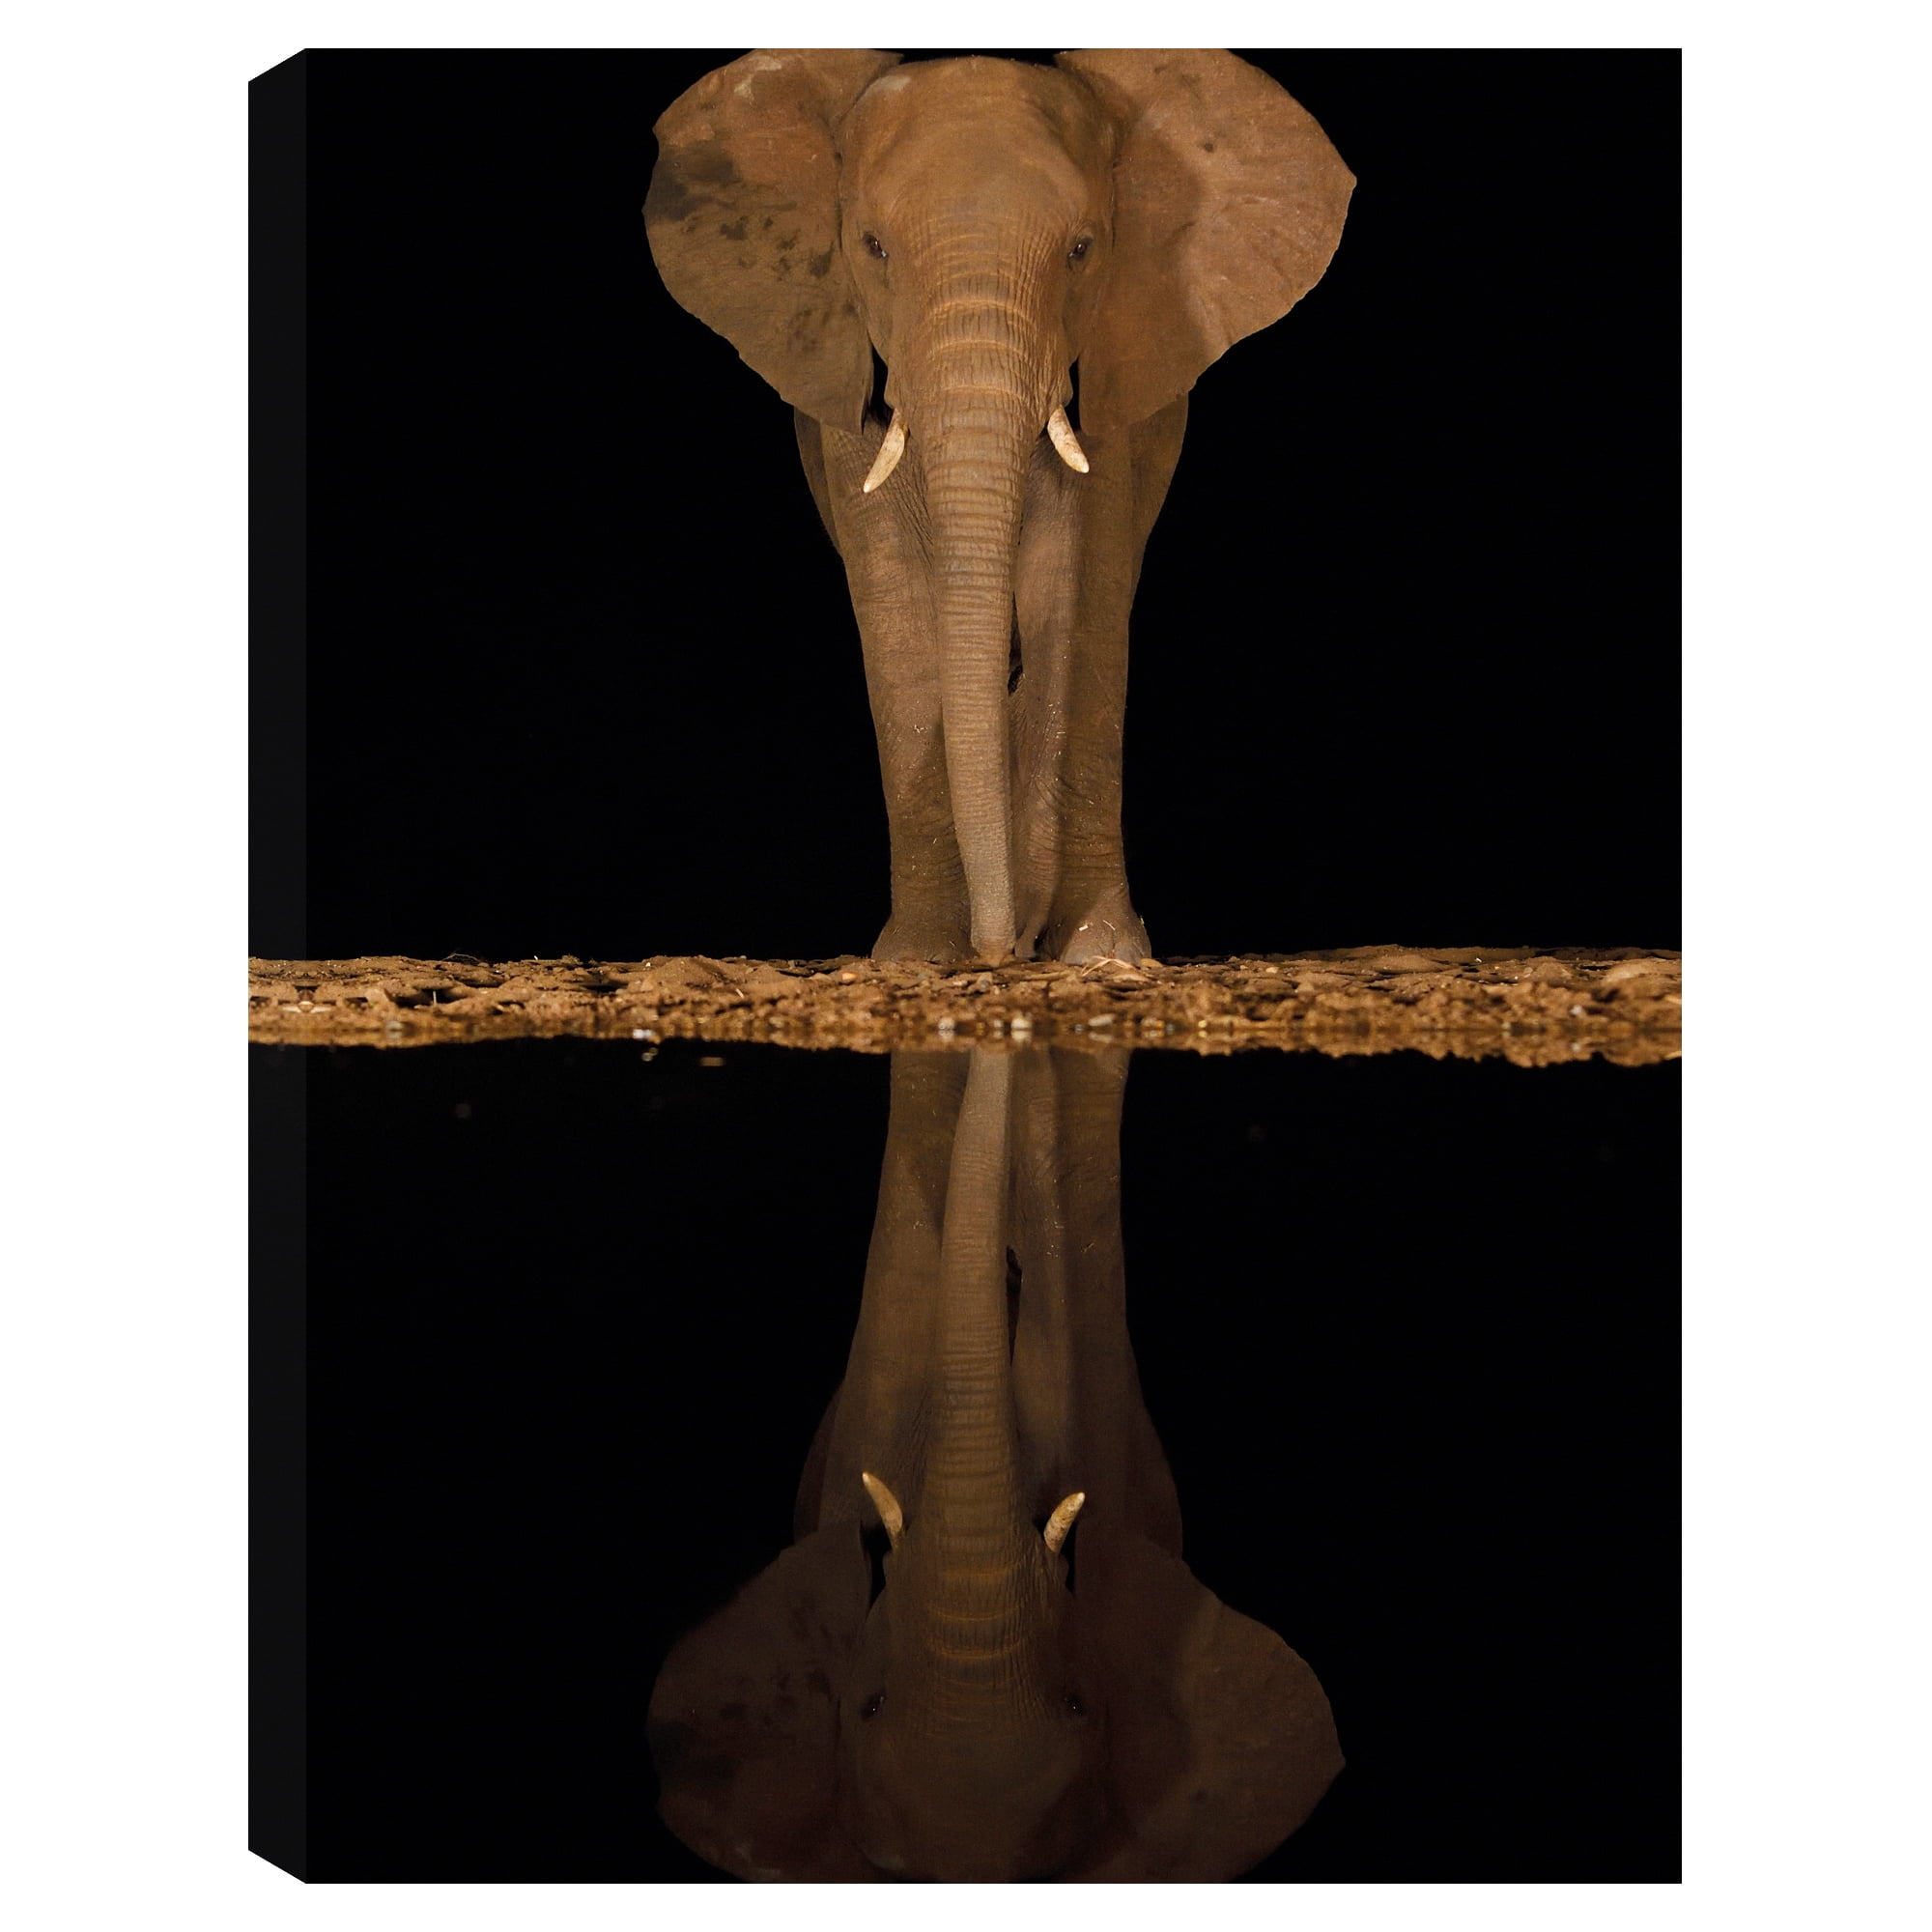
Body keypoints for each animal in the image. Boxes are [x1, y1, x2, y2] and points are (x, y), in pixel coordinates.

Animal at [645, 51, 1353, 966]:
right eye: (872, 247)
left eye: (1083, 250)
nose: (1004, 948)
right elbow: (895, 601)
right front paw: (920, 958)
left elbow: (1081, 579)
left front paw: (1101, 955)